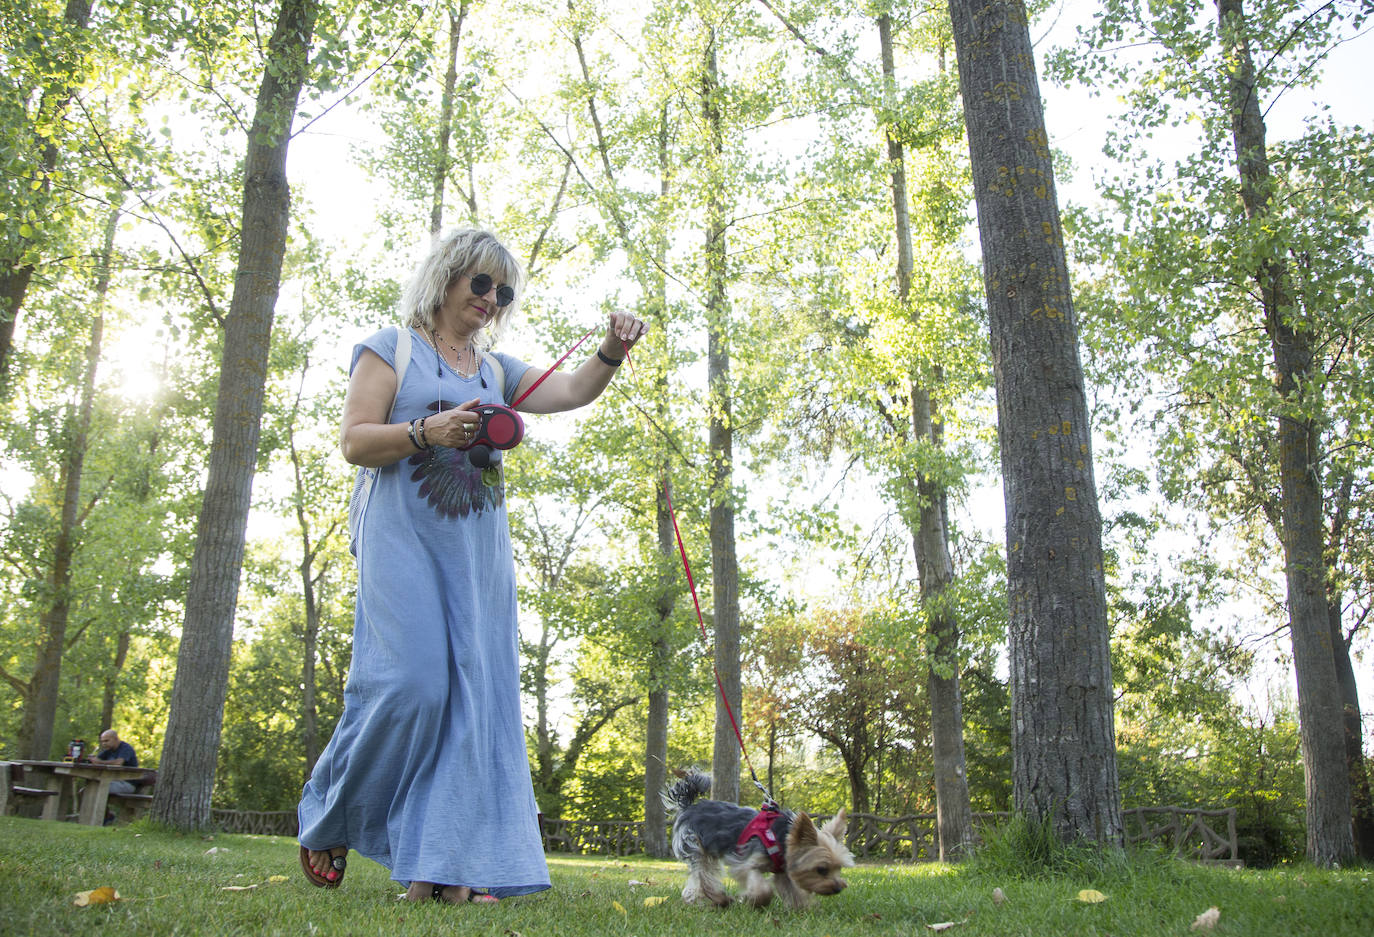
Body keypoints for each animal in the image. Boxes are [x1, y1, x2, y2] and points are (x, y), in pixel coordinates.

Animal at [662, 763, 851, 906]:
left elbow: (792, 891)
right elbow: (762, 888)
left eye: (839, 867)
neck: (780, 837)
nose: (838, 888)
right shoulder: (745, 862)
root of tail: (688, 807)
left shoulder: (783, 870)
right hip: (694, 844)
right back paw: (719, 899)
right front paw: (755, 901)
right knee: (703, 875)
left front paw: (801, 909)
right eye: (821, 869)